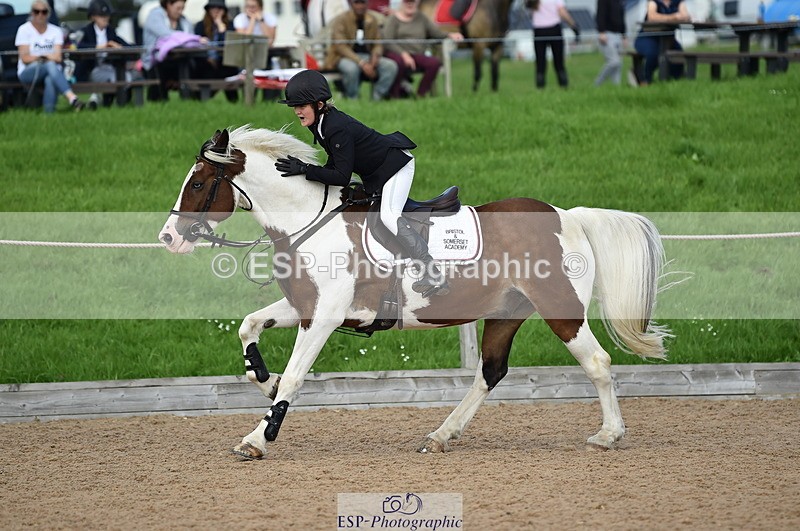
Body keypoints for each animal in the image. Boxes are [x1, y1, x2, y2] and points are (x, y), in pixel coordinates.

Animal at [159, 126, 672, 460]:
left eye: (199, 183)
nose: (168, 238)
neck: (307, 221)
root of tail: (568, 215)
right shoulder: (305, 307)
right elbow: (250, 328)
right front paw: (262, 382)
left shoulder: (324, 316)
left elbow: (296, 377)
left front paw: (258, 438)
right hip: (507, 311)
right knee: (490, 372)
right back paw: (441, 436)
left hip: (559, 309)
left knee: (597, 363)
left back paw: (609, 435)